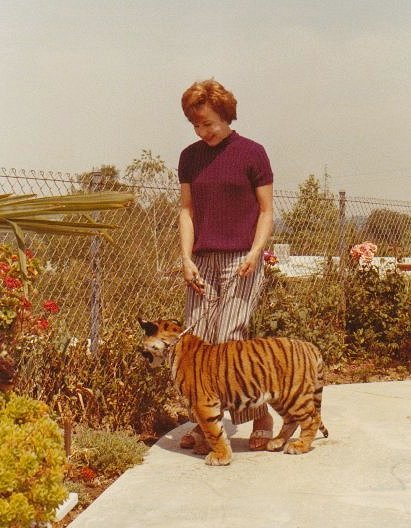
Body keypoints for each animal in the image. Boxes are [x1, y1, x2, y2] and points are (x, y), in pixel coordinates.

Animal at [138, 318, 328, 466]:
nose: (139, 352)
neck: (173, 346)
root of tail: (308, 345)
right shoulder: (213, 404)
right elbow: (214, 430)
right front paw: (206, 448)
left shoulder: (203, 403)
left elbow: (213, 432)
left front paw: (220, 457)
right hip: (280, 397)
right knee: (291, 419)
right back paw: (276, 442)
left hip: (295, 393)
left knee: (312, 419)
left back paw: (299, 446)